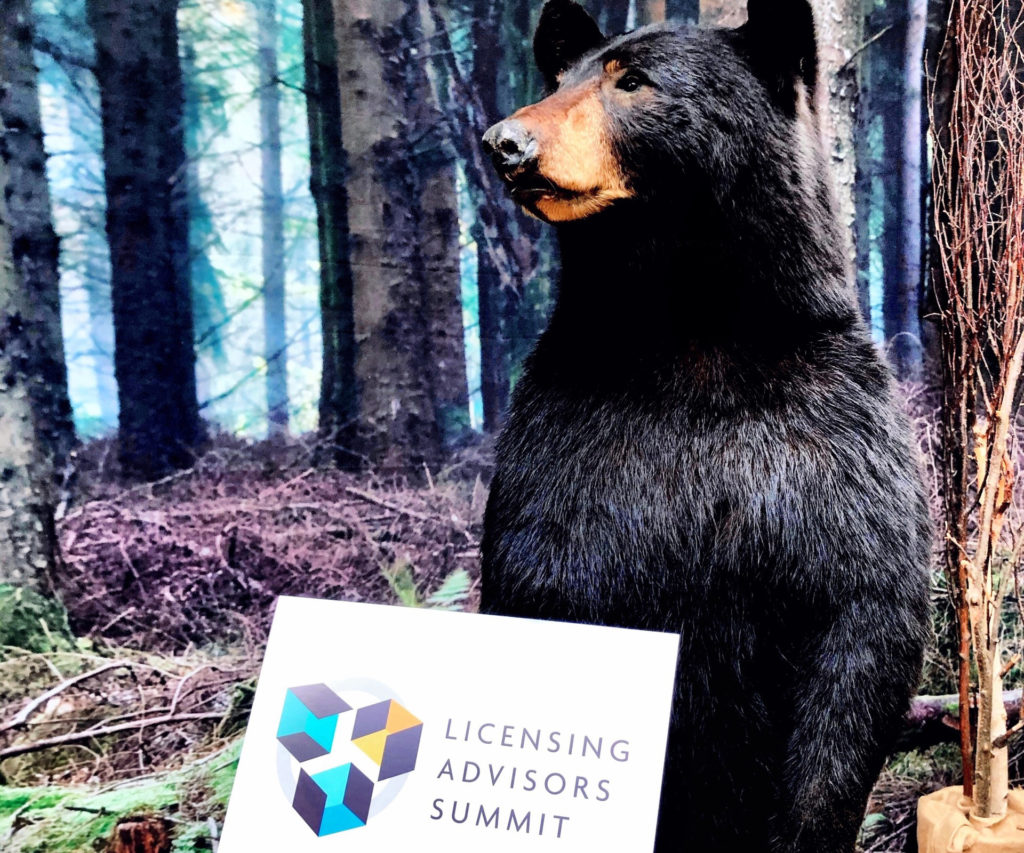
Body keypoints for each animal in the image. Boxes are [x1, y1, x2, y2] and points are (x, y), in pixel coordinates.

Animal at [475, 1, 933, 851]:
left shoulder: (833, 440)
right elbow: (547, 586)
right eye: (561, 78)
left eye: (632, 81)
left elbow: (861, 630)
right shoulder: (566, 450)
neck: (695, 326)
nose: (505, 142)